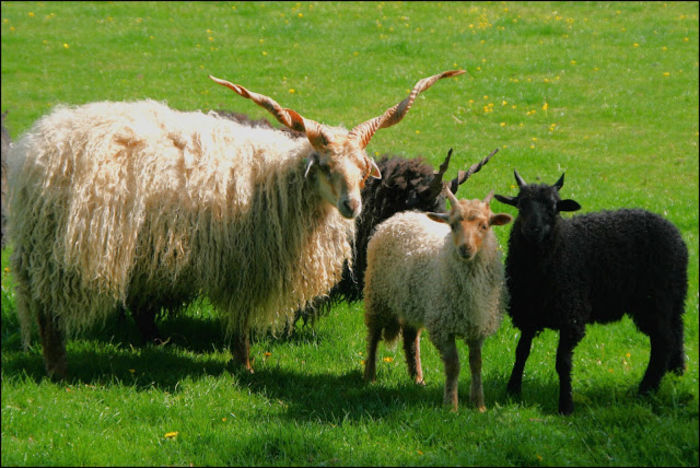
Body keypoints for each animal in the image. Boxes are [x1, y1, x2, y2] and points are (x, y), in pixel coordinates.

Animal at [8, 69, 464, 379]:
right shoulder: (245, 261)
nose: (352, 205)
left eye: (361, 168)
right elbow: (243, 321)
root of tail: (33, 149)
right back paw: (59, 369)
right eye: (325, 165)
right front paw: (244, 364)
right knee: (49, 311)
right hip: (58, 246)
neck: (278, 181)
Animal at [363, 186, 513, 411]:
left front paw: (479, 404)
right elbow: (453, 365)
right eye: (452, 225)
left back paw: (417, 378)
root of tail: (401, 216)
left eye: (484, 226)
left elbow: (476, 364)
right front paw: (451, 405)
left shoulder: (477, 326)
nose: (465, 249)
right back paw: (369, 376)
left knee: (410, 338)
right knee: (373, 336)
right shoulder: (442, 326)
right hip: (377, 296)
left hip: (413, 302)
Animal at [494, 170, 688, 415]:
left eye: (553, 207)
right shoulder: (528, 313)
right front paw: (512, 390)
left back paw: (646, 389)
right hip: (674, 297)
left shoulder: (572, 315)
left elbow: (562, 362)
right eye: (520, 205)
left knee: (663, 342)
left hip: (655, 300)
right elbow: (521, 352)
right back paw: (675, 374)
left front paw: (566, 405)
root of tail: (675, 234)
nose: (533, 229)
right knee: (677, 330)